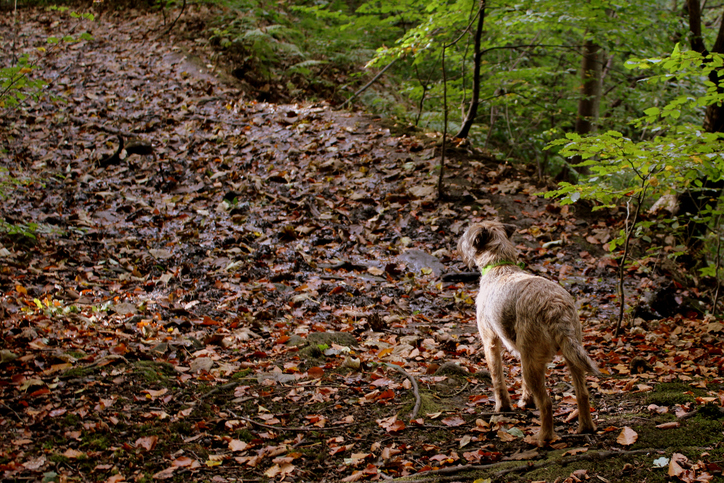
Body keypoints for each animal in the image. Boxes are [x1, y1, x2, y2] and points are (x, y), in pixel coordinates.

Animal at [458, 221, 600, 444]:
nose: (458, 243)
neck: (500, 266)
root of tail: (555, 308)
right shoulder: (522, 350)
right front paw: (526, 401)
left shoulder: (490, 341)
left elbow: (497, 378)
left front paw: (503, 407)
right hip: (569, 354)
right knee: (583, 394)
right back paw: (585, 428)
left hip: (534, 362)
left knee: (547, 402)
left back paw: (543, 438)